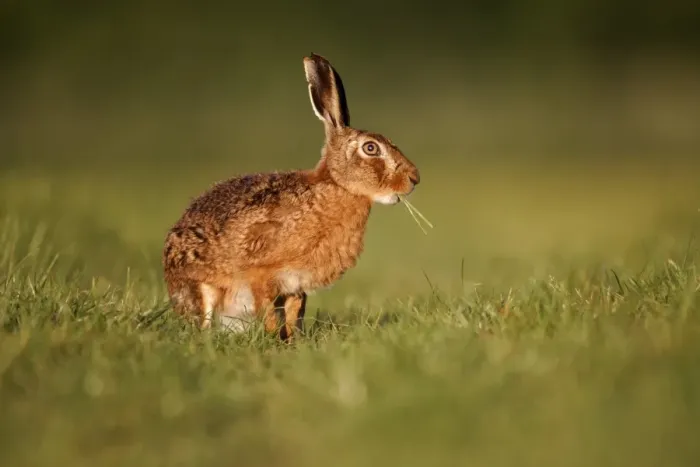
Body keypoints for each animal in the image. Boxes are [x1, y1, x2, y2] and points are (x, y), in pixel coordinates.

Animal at [162, 53, 420, 340]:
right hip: (201, 290)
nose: (414, 179)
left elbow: (293, 313)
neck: (336, 186)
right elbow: (269, 312)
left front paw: (293, 342)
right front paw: (276, 339)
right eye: (371, 148)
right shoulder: (262, 275)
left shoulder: (295, 285)